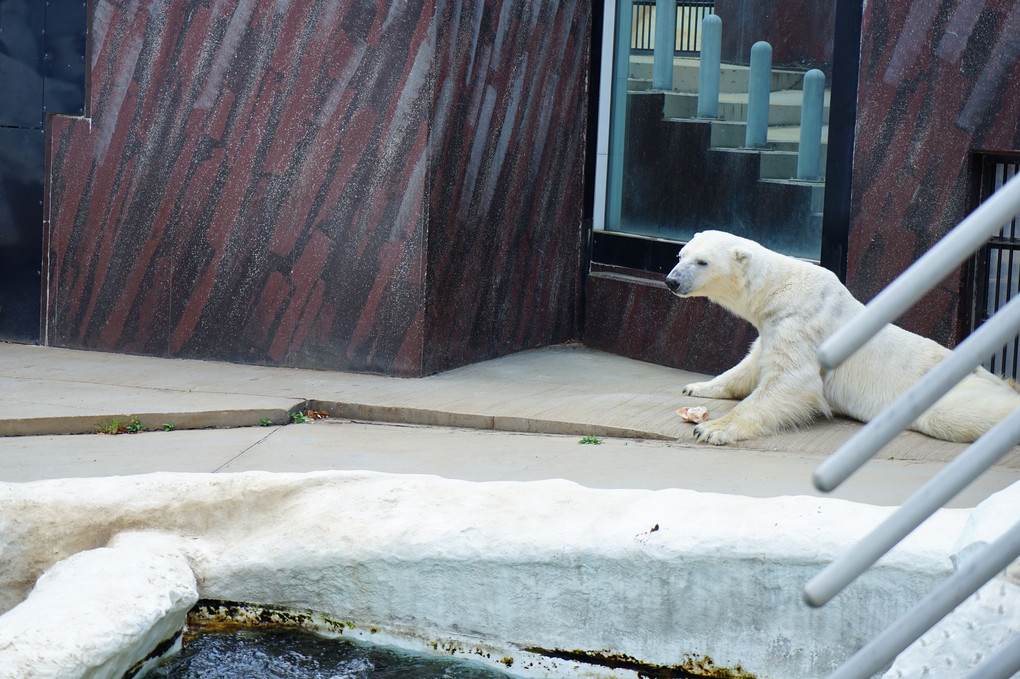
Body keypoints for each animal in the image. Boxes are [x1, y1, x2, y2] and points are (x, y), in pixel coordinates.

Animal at [660, 230, 1020, 446]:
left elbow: (793, 381)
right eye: (680, 255)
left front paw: (712, 428)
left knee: (956, 413)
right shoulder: (774, 326)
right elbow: (750, 365)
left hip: (949, 388)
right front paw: (698, 387)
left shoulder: (803, 323)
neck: (780, 288)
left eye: (702, 262)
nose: (671, 281)